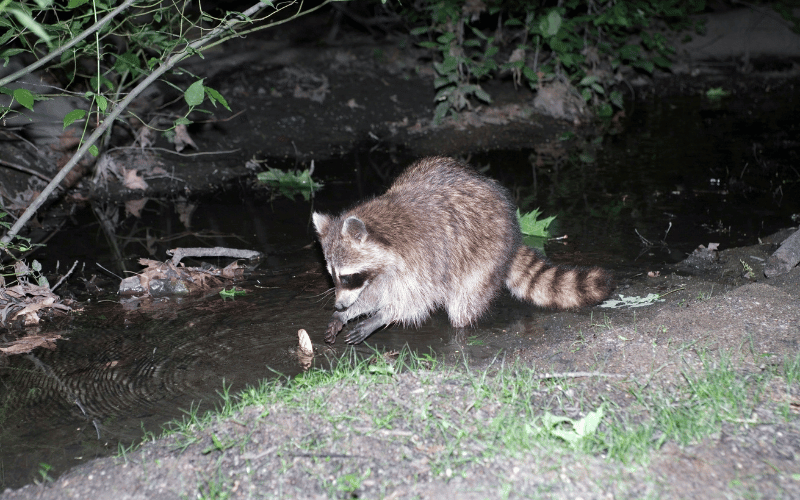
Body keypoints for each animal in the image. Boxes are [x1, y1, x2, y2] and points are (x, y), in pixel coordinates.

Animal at [312, 156, 612, 344]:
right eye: (333, 276)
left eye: (347, 276)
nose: (338, 304)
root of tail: (514, 234)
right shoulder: (382, 270)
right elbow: (374, 292)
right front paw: (350, 311)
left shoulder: (426, 258)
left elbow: (417, 300)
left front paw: (382, 315)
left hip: (485, 257)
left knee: (464, 303)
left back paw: (460, 330)